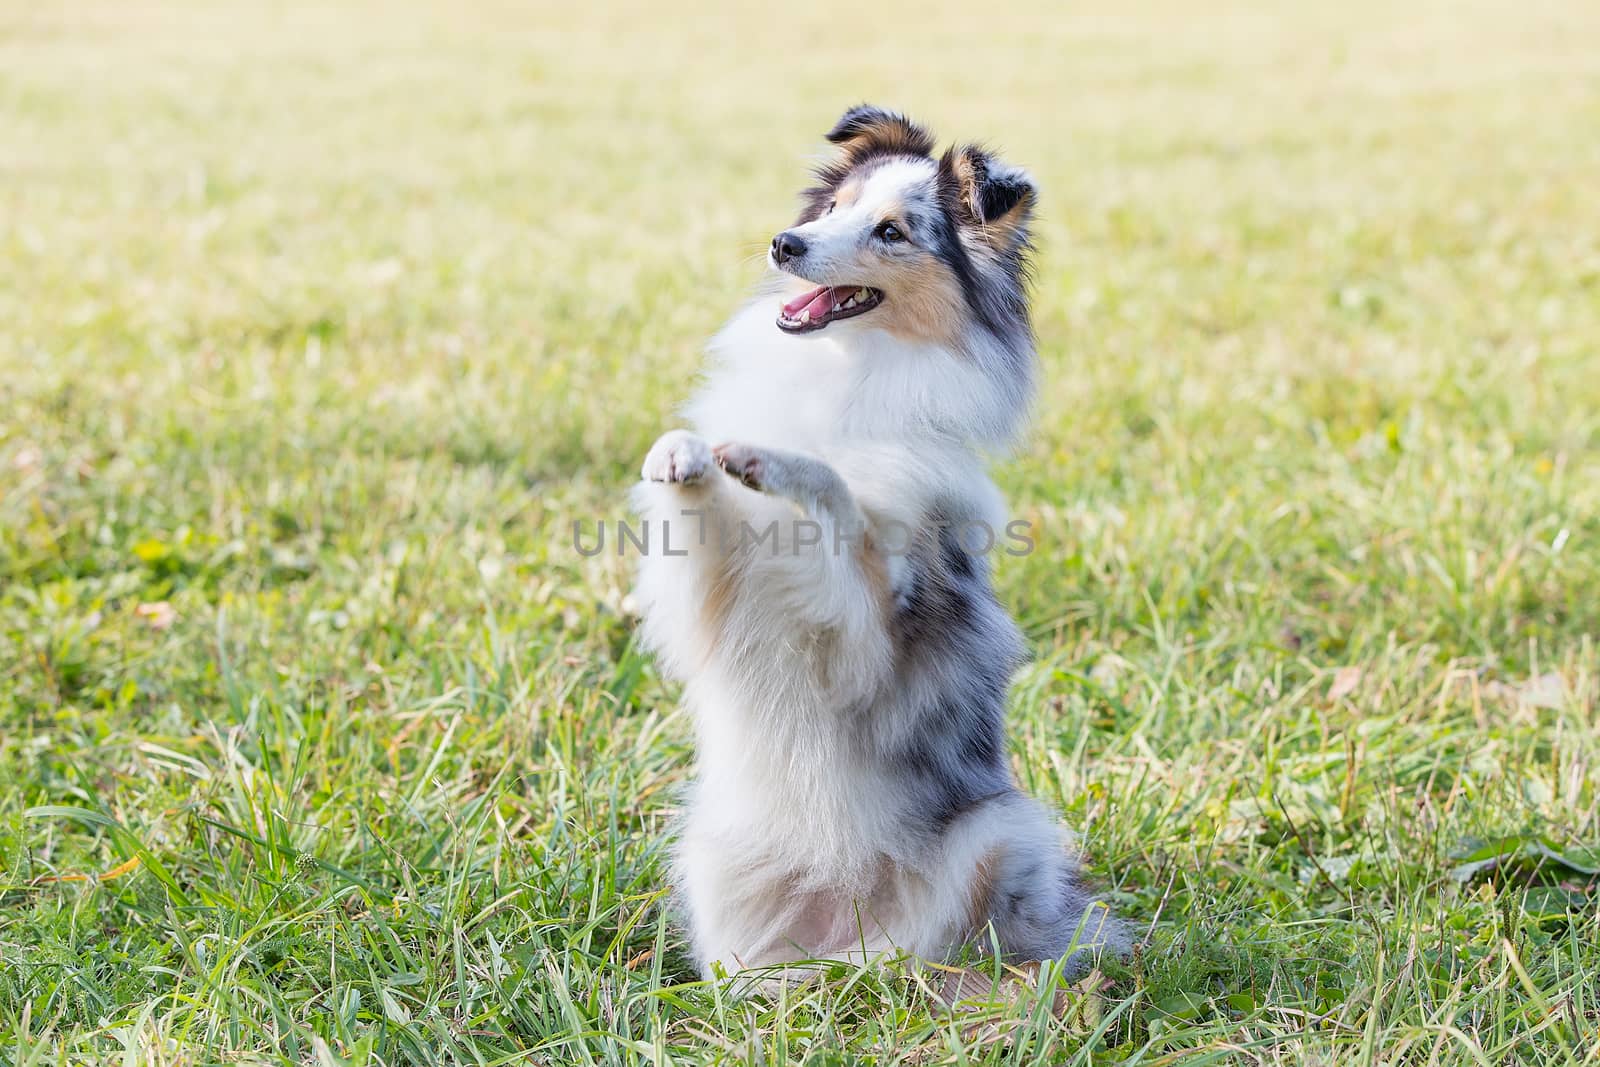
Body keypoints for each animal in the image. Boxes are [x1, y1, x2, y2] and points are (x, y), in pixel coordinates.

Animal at [630, 103, 1120, 979]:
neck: (847, 374)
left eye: (892, 231)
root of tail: (838, 928)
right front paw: (681, 456)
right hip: (711, 851)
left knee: (930, 949)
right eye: (833, 208)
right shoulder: (716, 589)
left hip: (997, 832)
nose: (785, 243)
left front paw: (775, 462)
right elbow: (696, 516)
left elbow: (836, 496)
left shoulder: (867, 637)